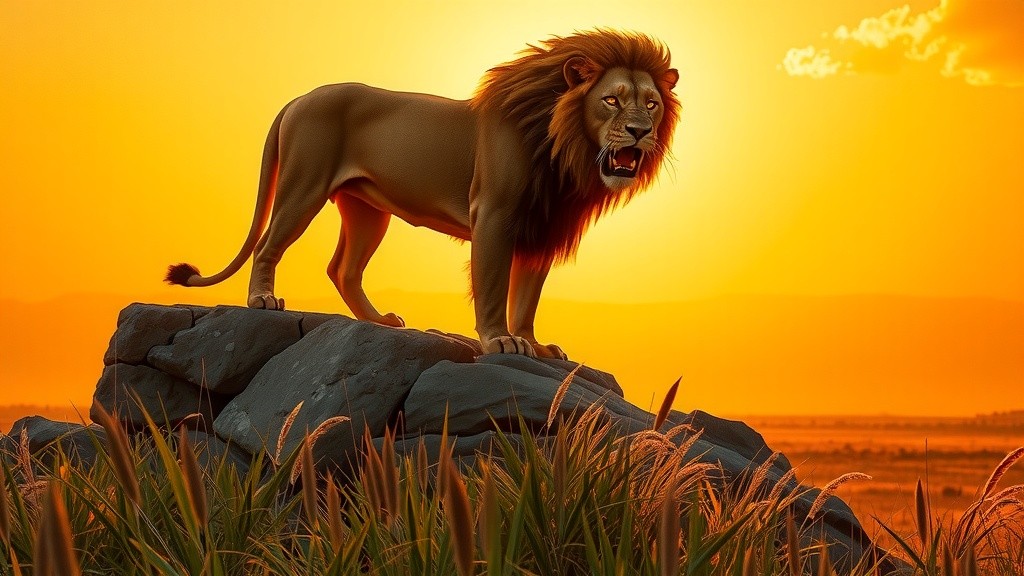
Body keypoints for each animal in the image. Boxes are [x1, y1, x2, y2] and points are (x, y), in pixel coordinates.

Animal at [166, 30, 680, 359]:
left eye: (651, 103)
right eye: (611, 100)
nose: (640, 132)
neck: (564, 147)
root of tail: (299, 97)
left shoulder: (543, 227)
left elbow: (527, 297)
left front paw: (533, 344)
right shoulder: (495, 214)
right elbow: (493, 285)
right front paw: (499, 342)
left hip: (368, 211)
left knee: (343, 269)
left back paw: (379, 323)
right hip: (303, 186)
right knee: (269, 245)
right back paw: (262, 301)